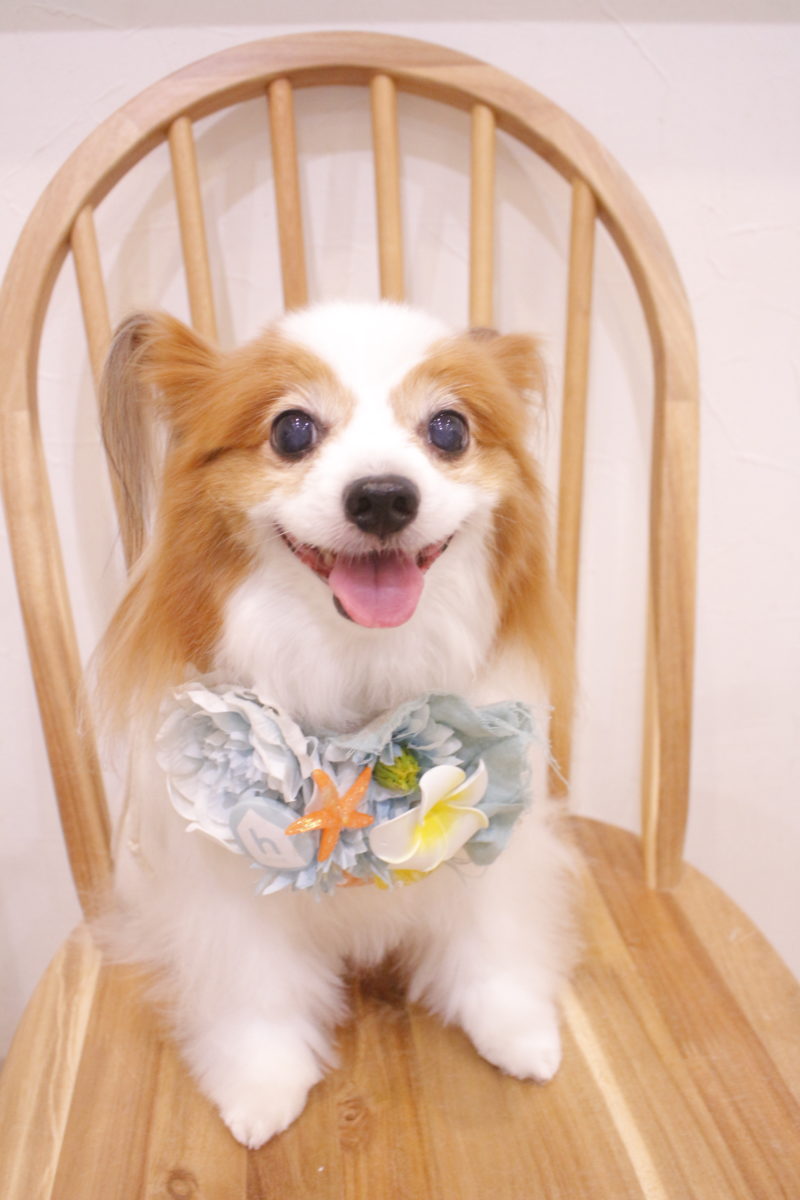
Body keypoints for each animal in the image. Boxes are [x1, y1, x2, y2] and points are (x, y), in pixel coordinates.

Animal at [98, 299, 577, 1148]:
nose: (383, 496)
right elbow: (252, 987)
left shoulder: (492, 817)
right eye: (293, 430)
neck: (360, 681)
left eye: (449, 429)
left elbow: (492, 934)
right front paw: (260, 1083)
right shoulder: (225, 885)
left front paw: (515, 1029)